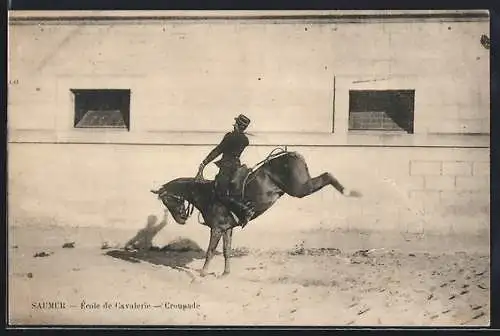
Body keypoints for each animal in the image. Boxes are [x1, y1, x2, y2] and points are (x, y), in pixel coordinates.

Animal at [150, 148, 362, 276]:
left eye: (168, 200)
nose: (180, 219)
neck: (207, 194)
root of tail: (291, 154)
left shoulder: (216, 229)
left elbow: (210, 251)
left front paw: (202, 274)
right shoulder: (227, 229)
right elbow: (226, 251)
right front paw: (225, 273)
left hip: (300, 189)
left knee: (327, 176)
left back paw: (350, 192)